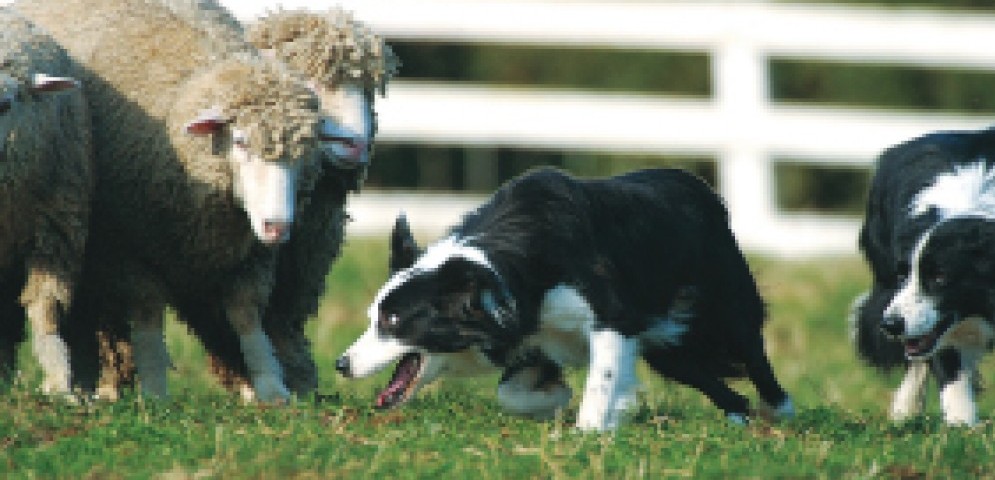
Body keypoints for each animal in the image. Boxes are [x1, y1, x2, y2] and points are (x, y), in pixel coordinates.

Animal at [14, 0, 330, 402]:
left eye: (305, 151)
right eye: (240, 141)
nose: (278, 227)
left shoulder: (249, 256)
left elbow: (246, 316)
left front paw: (270, 385)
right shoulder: (126, 247)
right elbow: (148, 313)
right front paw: (154, 391)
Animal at [334, 167, 792, 430]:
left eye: (393, 321)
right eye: (373, 316)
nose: (340, 364)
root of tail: (701, 188)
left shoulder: (612, 318)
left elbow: (600, 381)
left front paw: (592, 430)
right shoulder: (530, 334)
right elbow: (511, 394)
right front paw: (558, 400)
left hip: (724, 307)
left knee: (754, 354)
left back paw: (781, 412)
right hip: (670, 349)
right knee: (713, 382)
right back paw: (739, 418)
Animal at [852, 126, 995, 424]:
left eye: (940, 278)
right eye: (903, 275)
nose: (890, 325)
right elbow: (948, 364)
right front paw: (961, 426)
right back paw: (904, 411)